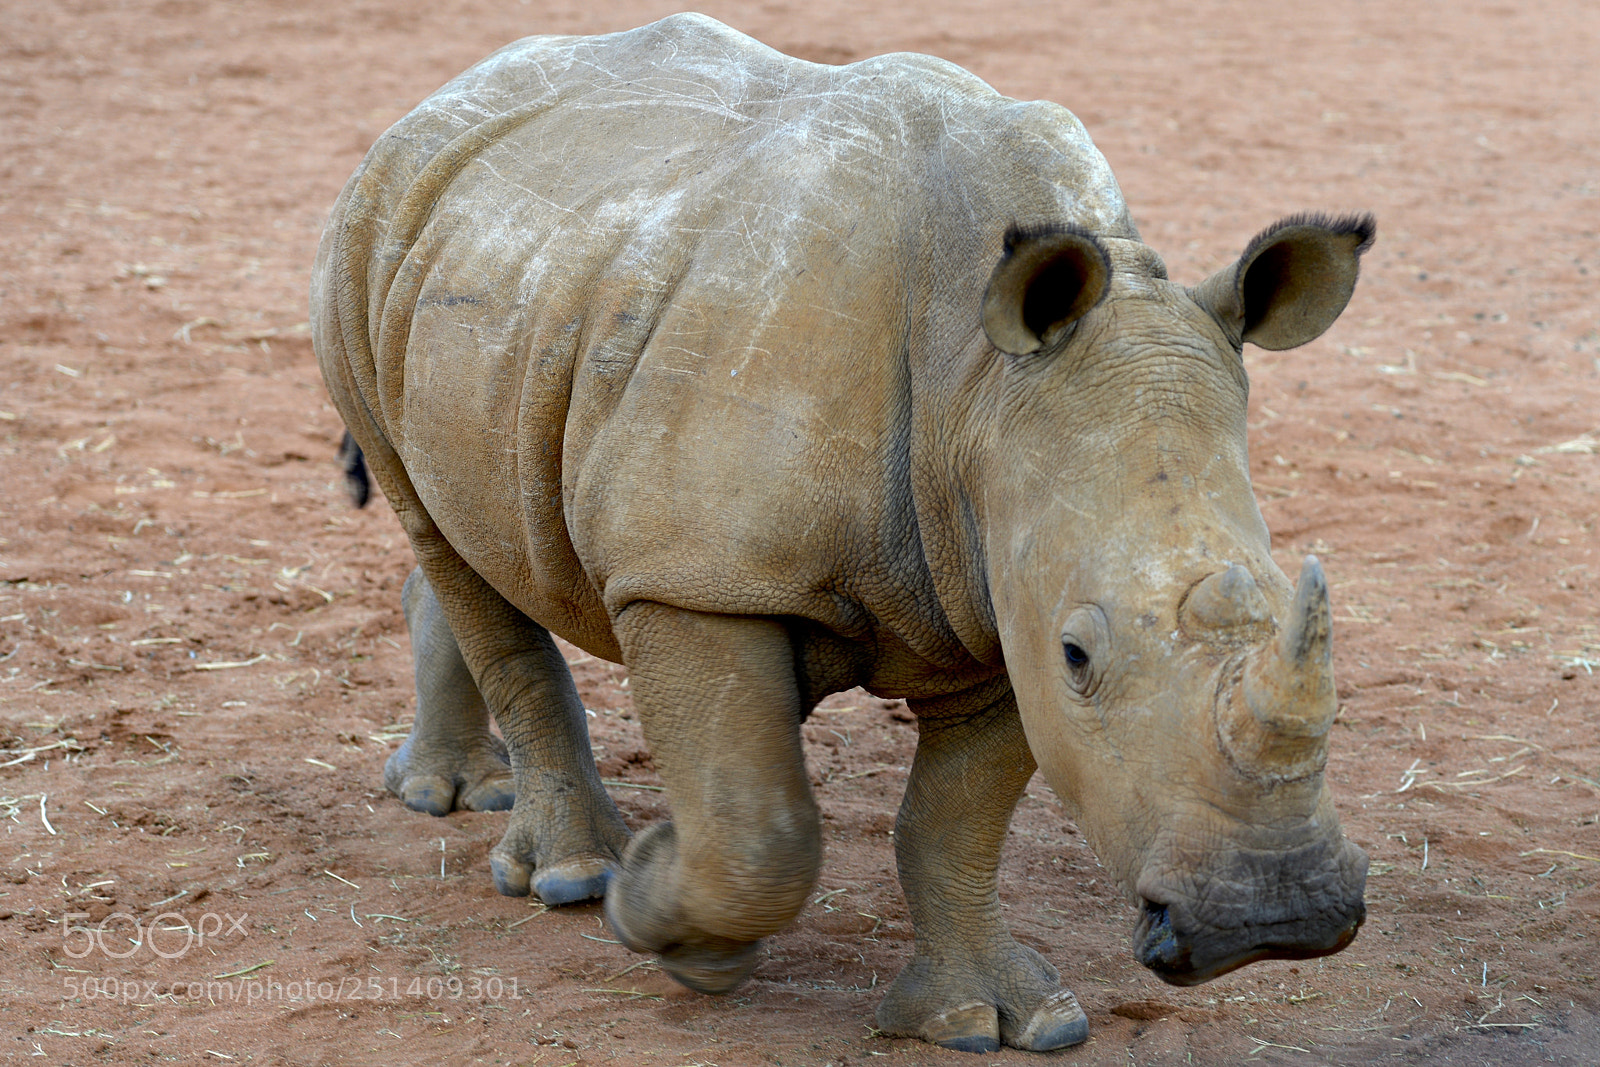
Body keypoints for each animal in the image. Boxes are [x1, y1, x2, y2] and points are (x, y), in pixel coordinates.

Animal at [312, 13, 1372, 1053]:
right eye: (1079, 654)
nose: (1273, 919)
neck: (977, 389)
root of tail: (446, 94)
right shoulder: (696, 574)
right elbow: (756, 830)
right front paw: (670, 922)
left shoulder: (999, 591)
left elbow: (953, 820)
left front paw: (994, 1020)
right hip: (364, 240)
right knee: (438, 531)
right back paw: (570, 876)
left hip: (505, 269)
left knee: (471, 528)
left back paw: (449, 790)